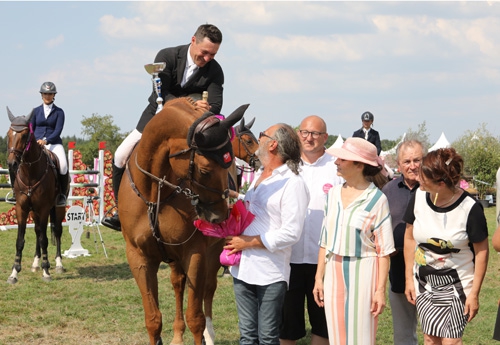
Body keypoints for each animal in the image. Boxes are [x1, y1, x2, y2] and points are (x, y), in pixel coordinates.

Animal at [5, 107, 68, 282]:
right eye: (8, 134)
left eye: (24, 135)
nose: (12, 164)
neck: (30, 173)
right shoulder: (22, 208)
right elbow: (20, 240)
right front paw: (14, 273)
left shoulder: (44, 208)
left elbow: (45, 240)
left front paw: (46, 271)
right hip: (34, 212)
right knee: (38, 231)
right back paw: (35, 263)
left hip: (57, 208)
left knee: (57, 231)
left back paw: (58, 264)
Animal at [119, 97, 248, 344]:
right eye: (205, 170)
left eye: (228, 165)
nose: (220, 217)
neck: (155, 193)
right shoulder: (138, 257)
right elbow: (153, 318)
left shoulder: (195, 252)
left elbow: (196, 317)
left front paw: (203, 332)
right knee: (178, 284)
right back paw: (178, 335)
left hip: (213, 250)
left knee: (208, 288)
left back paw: (210, 334)